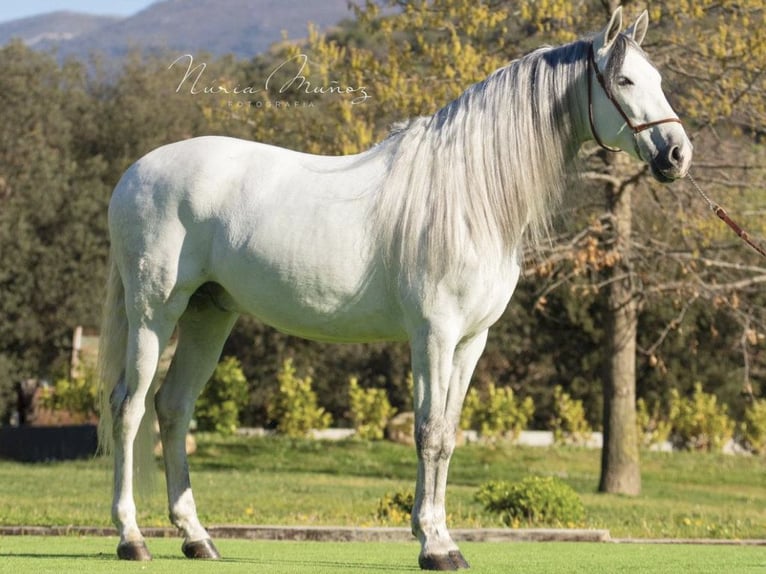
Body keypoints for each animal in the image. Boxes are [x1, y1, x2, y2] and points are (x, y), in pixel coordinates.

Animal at [97, 9, 696, 572]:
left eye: (658, 77)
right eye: (624, 80)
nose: (677, 155)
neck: (468, 195)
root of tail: (133, 174)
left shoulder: (471, 341)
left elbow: (448, 434)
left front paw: (442, 537)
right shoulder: (433, 334)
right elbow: (428, 431)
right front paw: (434, 545)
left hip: (209, 315)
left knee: (173, 407)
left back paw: (196, 538)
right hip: (154, 313)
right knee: (129, 408)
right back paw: (132, 537)